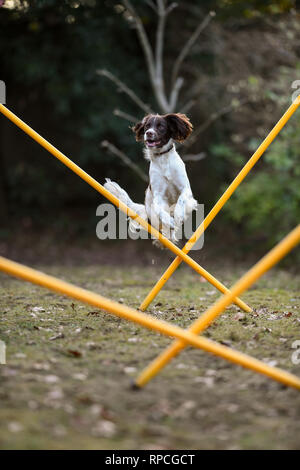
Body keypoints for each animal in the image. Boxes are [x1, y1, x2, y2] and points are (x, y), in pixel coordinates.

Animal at [104, 113, 198, 246]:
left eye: (161, 126)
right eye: (147, 126)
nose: (148, 133)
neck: (163, 158)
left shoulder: (185, 188)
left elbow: (181, 200)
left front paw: (178, 215)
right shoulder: (158, 195)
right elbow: (159, 210)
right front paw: (169, 221)